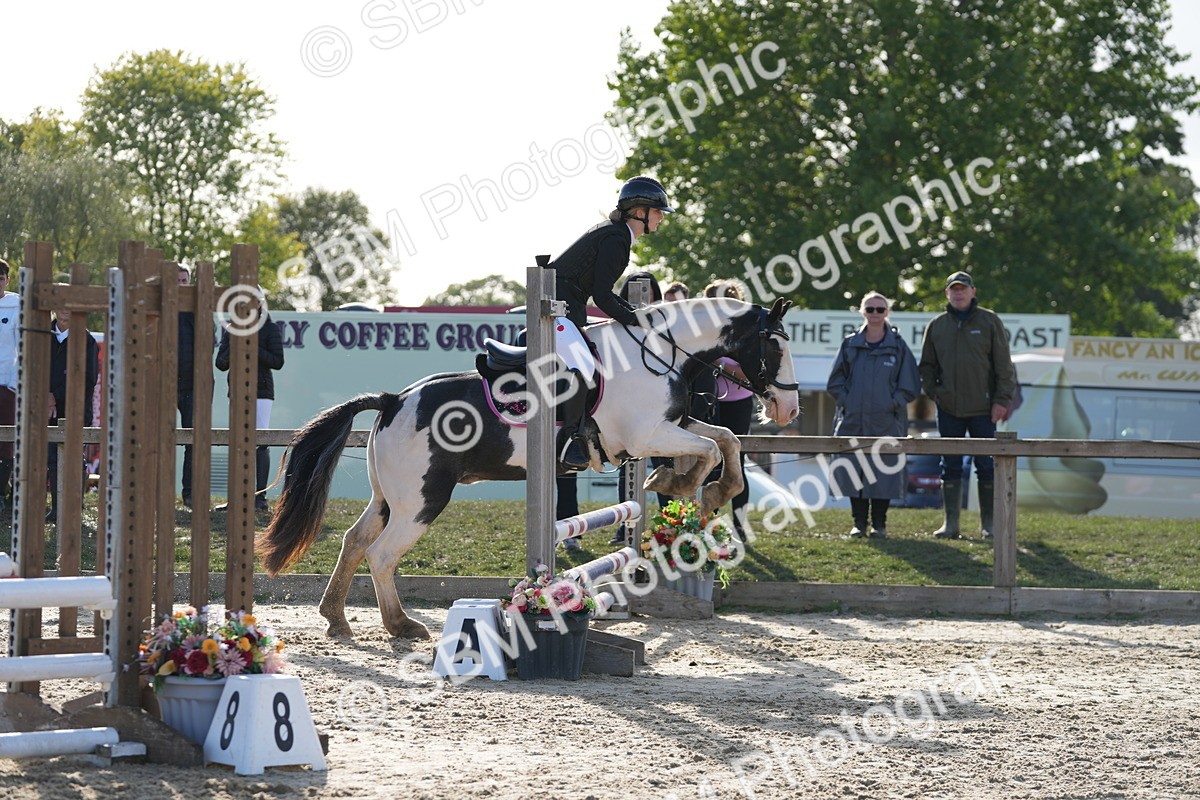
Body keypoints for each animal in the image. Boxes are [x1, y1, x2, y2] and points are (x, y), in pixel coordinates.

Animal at [258, 296, 800, 639]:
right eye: (774, 346)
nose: (788, 410)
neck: (658, 352)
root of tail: (394, 400)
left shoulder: (670, 426)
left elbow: (724, 440)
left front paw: (697, 486)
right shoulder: (649, 434)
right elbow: (708, 449)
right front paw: (686, 482)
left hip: (388, 498)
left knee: (355, 541)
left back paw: (336, 618)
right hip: (421, 501)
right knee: (383, 554)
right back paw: (400, 625)